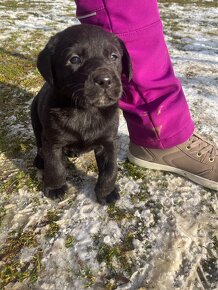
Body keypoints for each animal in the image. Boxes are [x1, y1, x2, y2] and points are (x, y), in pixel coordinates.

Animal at [30, 24, 132, 204]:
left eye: (114, 56)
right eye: (75, 59)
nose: (105, 80)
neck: (86, 111)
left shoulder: (108, 142)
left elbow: (110, 170)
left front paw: (107, 193)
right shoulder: (53, 141)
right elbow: (54, 166)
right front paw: (55, 188)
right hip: (34, 117)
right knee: (39, 145)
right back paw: (40, 160)